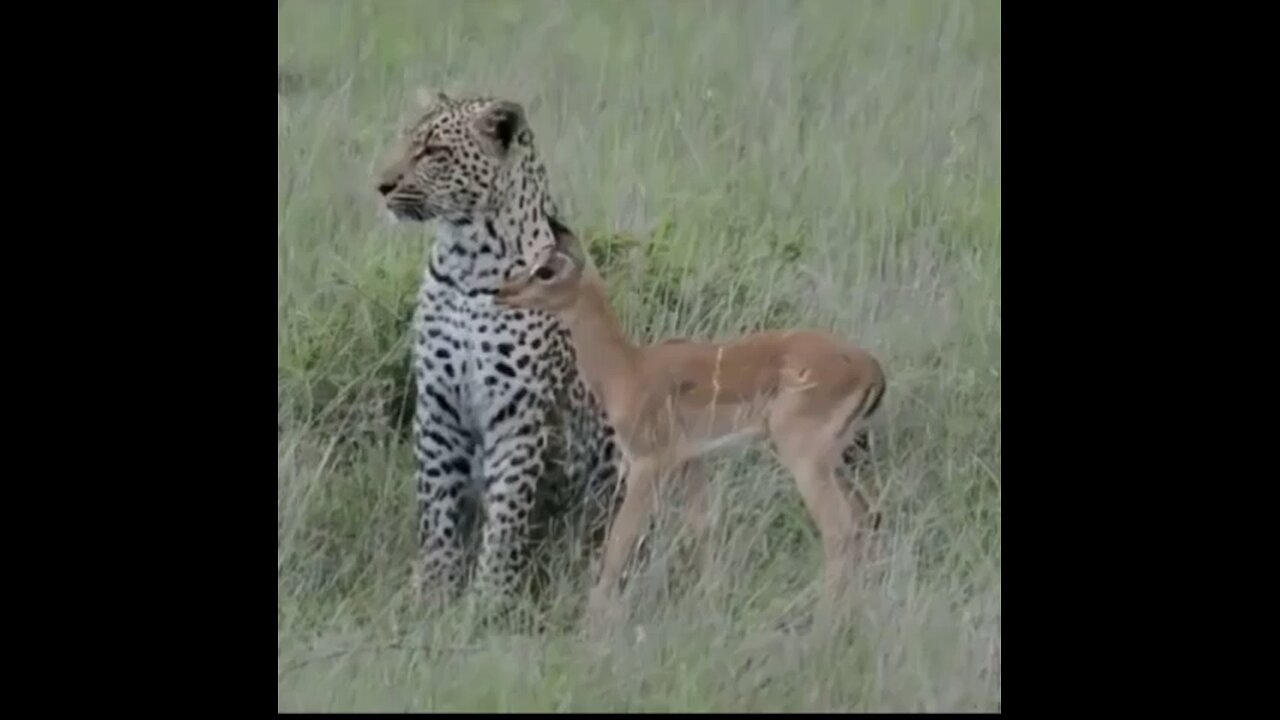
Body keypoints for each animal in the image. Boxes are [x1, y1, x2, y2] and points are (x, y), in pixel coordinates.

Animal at [373, 92, 627, 602]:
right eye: (406, 142)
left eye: (433, 152)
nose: (382, 186)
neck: (468, 261)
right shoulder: (439, 404)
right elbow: (436, 506)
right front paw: (433, 591)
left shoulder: (518, 412)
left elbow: (508, 513)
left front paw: (488, 598)